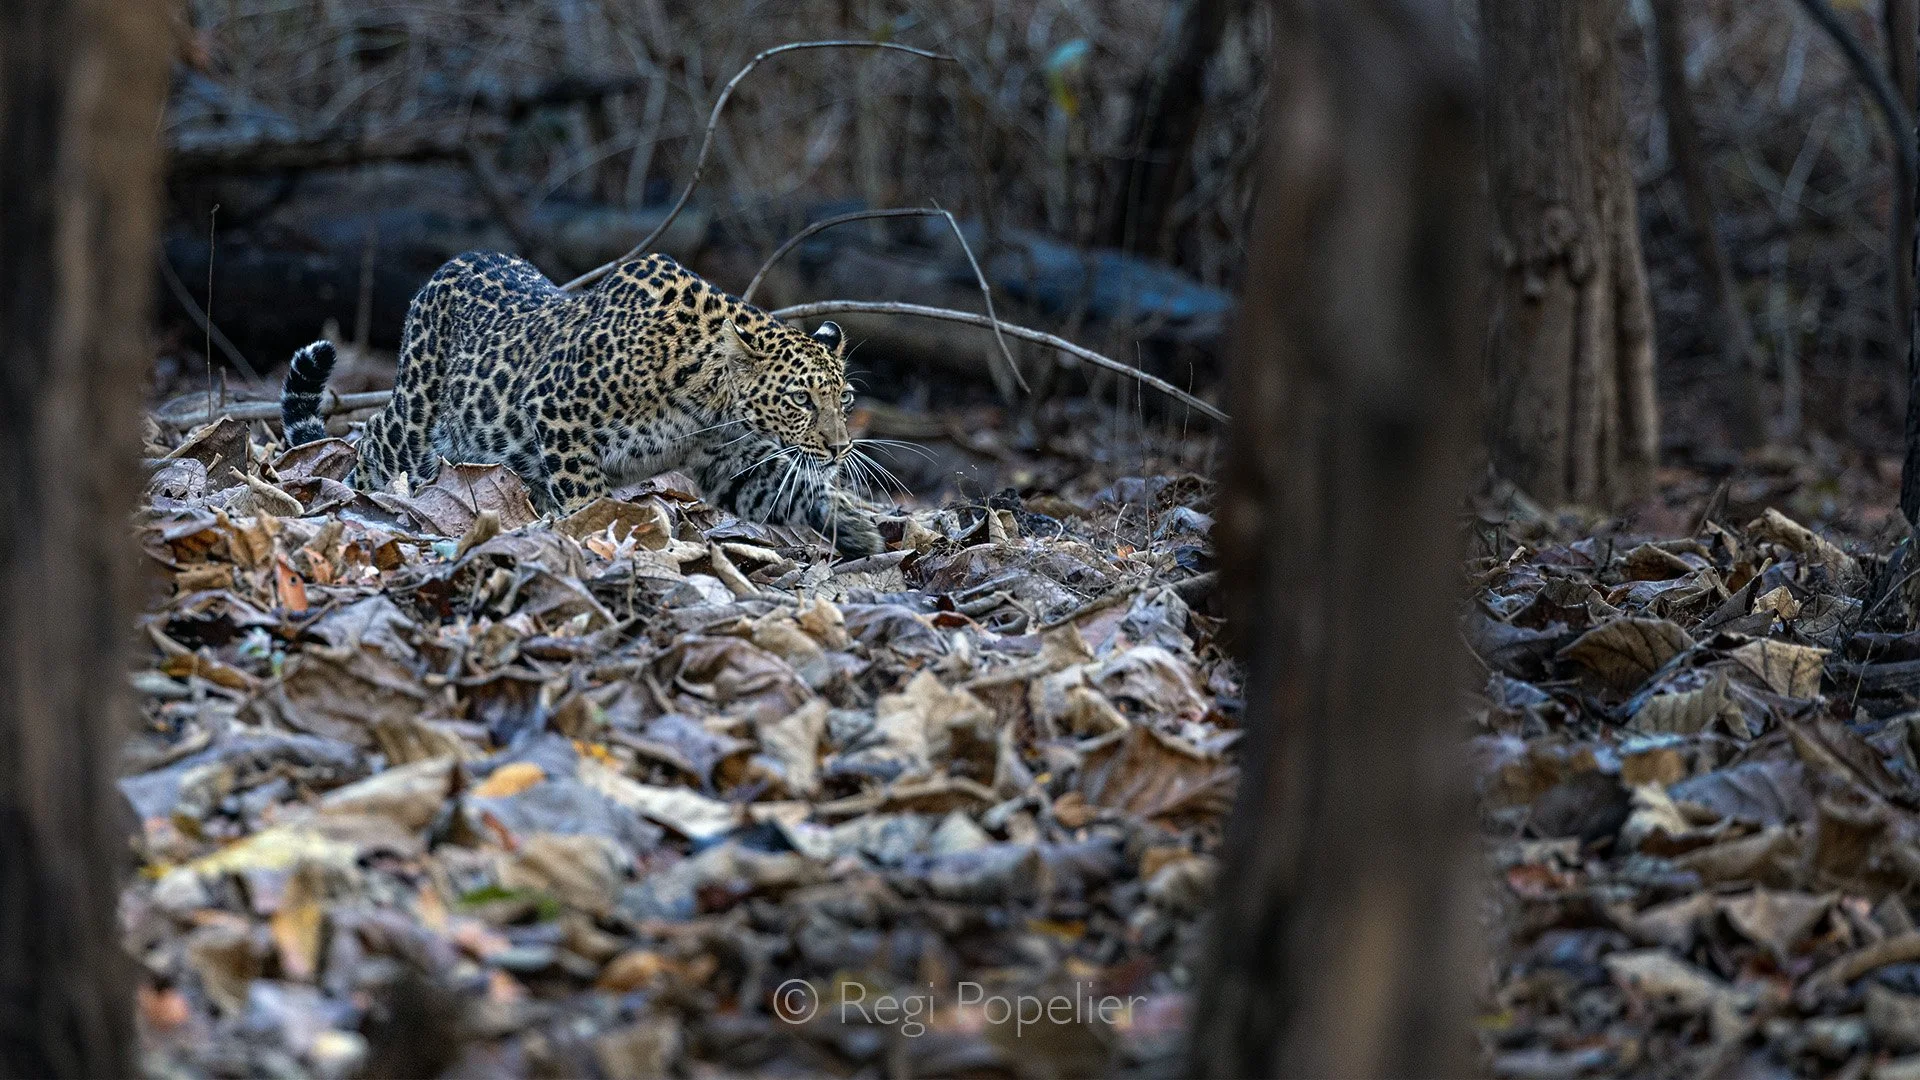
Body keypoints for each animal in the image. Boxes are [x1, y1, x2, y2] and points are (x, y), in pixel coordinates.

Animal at [280, 250, 885, 556]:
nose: (840, 449)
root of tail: (447, 266)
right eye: (799, 398)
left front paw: (858, 527)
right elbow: (584, 494)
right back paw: (349, 504)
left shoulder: (725, 465)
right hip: (414, 421)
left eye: (845, 399)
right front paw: (596, 537)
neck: (711, 398)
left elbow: (791, 490)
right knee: (371, 441)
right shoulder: (558, 411)